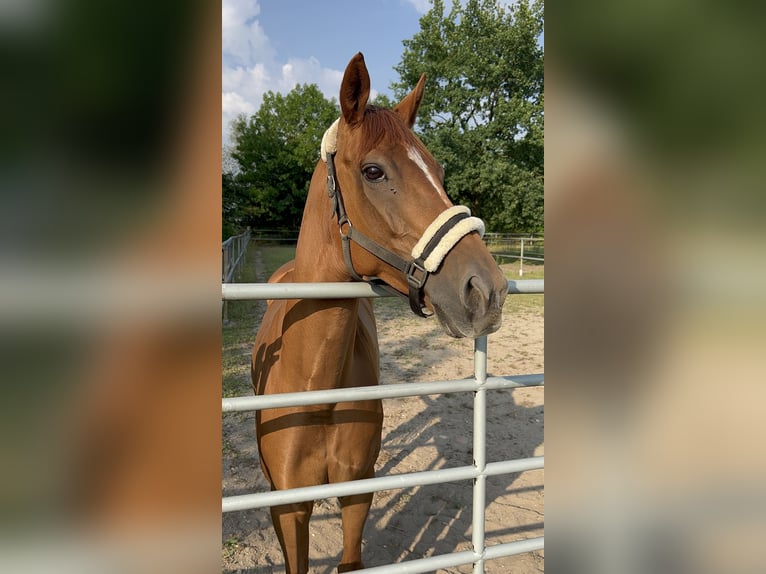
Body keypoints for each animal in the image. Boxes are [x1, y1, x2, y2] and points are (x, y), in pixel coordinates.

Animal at [252, 51, 510, 572]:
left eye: (438, 170)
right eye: (374, 172)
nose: (487, 289)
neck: (316, 389)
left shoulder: (358, 495)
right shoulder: (287, 507)